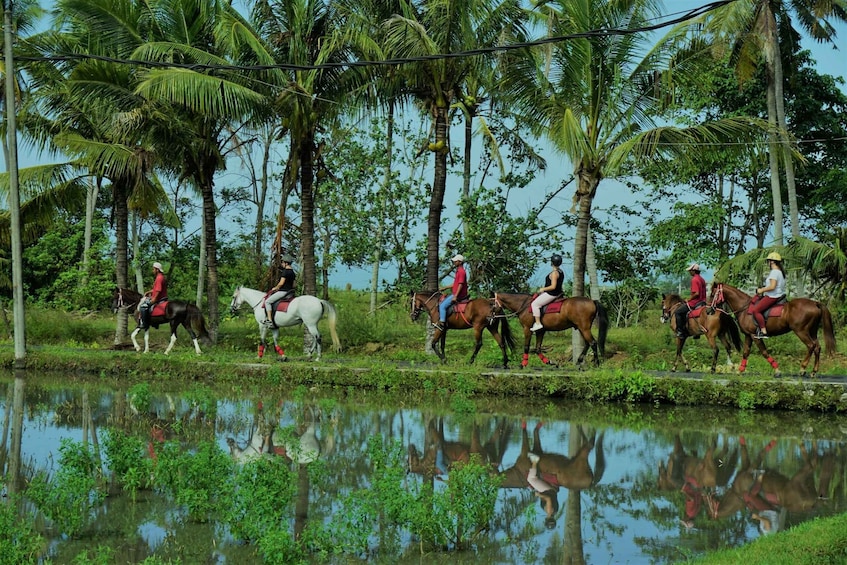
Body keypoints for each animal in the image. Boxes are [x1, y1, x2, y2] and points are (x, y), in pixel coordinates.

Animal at [712, 282, 840, 378]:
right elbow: (746, 352)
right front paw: (740, 370)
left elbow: (764, 352)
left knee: (811, 346)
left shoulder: (755, 336)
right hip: (812, 331)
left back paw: (802, 368)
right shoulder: (749, 335)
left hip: (801, 331)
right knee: (817, 347)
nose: (710, 310)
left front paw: (777, 370)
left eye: (713, 293)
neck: (744, 308)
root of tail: (815, 303)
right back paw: (813, 371)